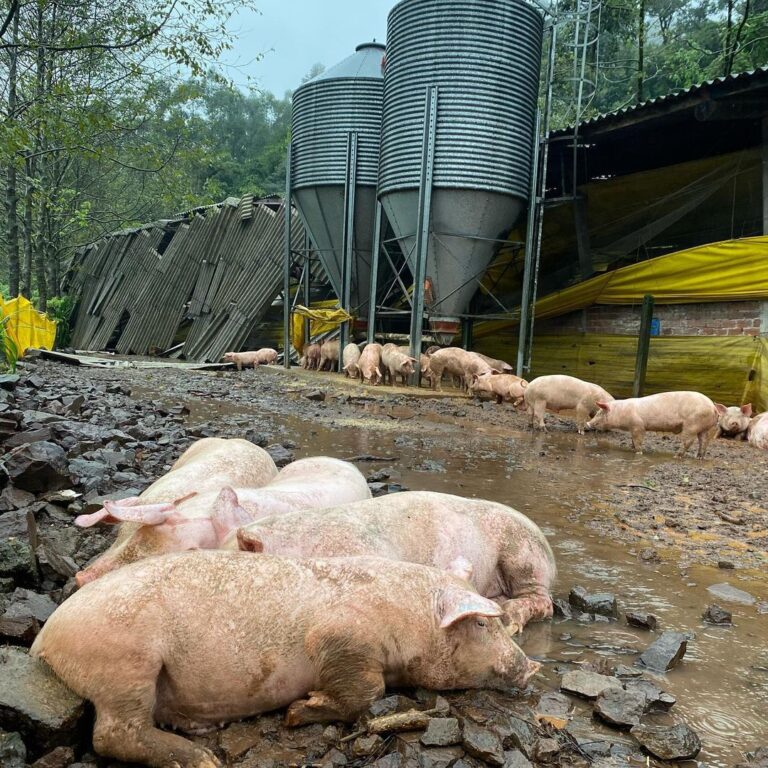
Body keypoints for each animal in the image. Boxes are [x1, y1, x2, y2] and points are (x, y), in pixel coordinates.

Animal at [34, 552, 540, 768]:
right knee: (112, 734)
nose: (531, 667)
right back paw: (202, 760)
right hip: (127, 662)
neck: (406, 616)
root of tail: (46, 638)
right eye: (483, 625)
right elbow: (368, 688)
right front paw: (299, 712)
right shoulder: (339, 637)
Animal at [584, 390, 724, 456]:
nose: (588, 423)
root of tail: (712, 406)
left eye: (600, 413)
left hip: (692, 425)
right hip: (704, 427)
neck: (621, 412)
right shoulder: (633, 427)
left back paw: (677, 456)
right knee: (704, 441)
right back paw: (699, 456)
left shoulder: (638, 426)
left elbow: (638, 439)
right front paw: (632, 447)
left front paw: (638, 452)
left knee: (689, 441)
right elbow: (632, 440)